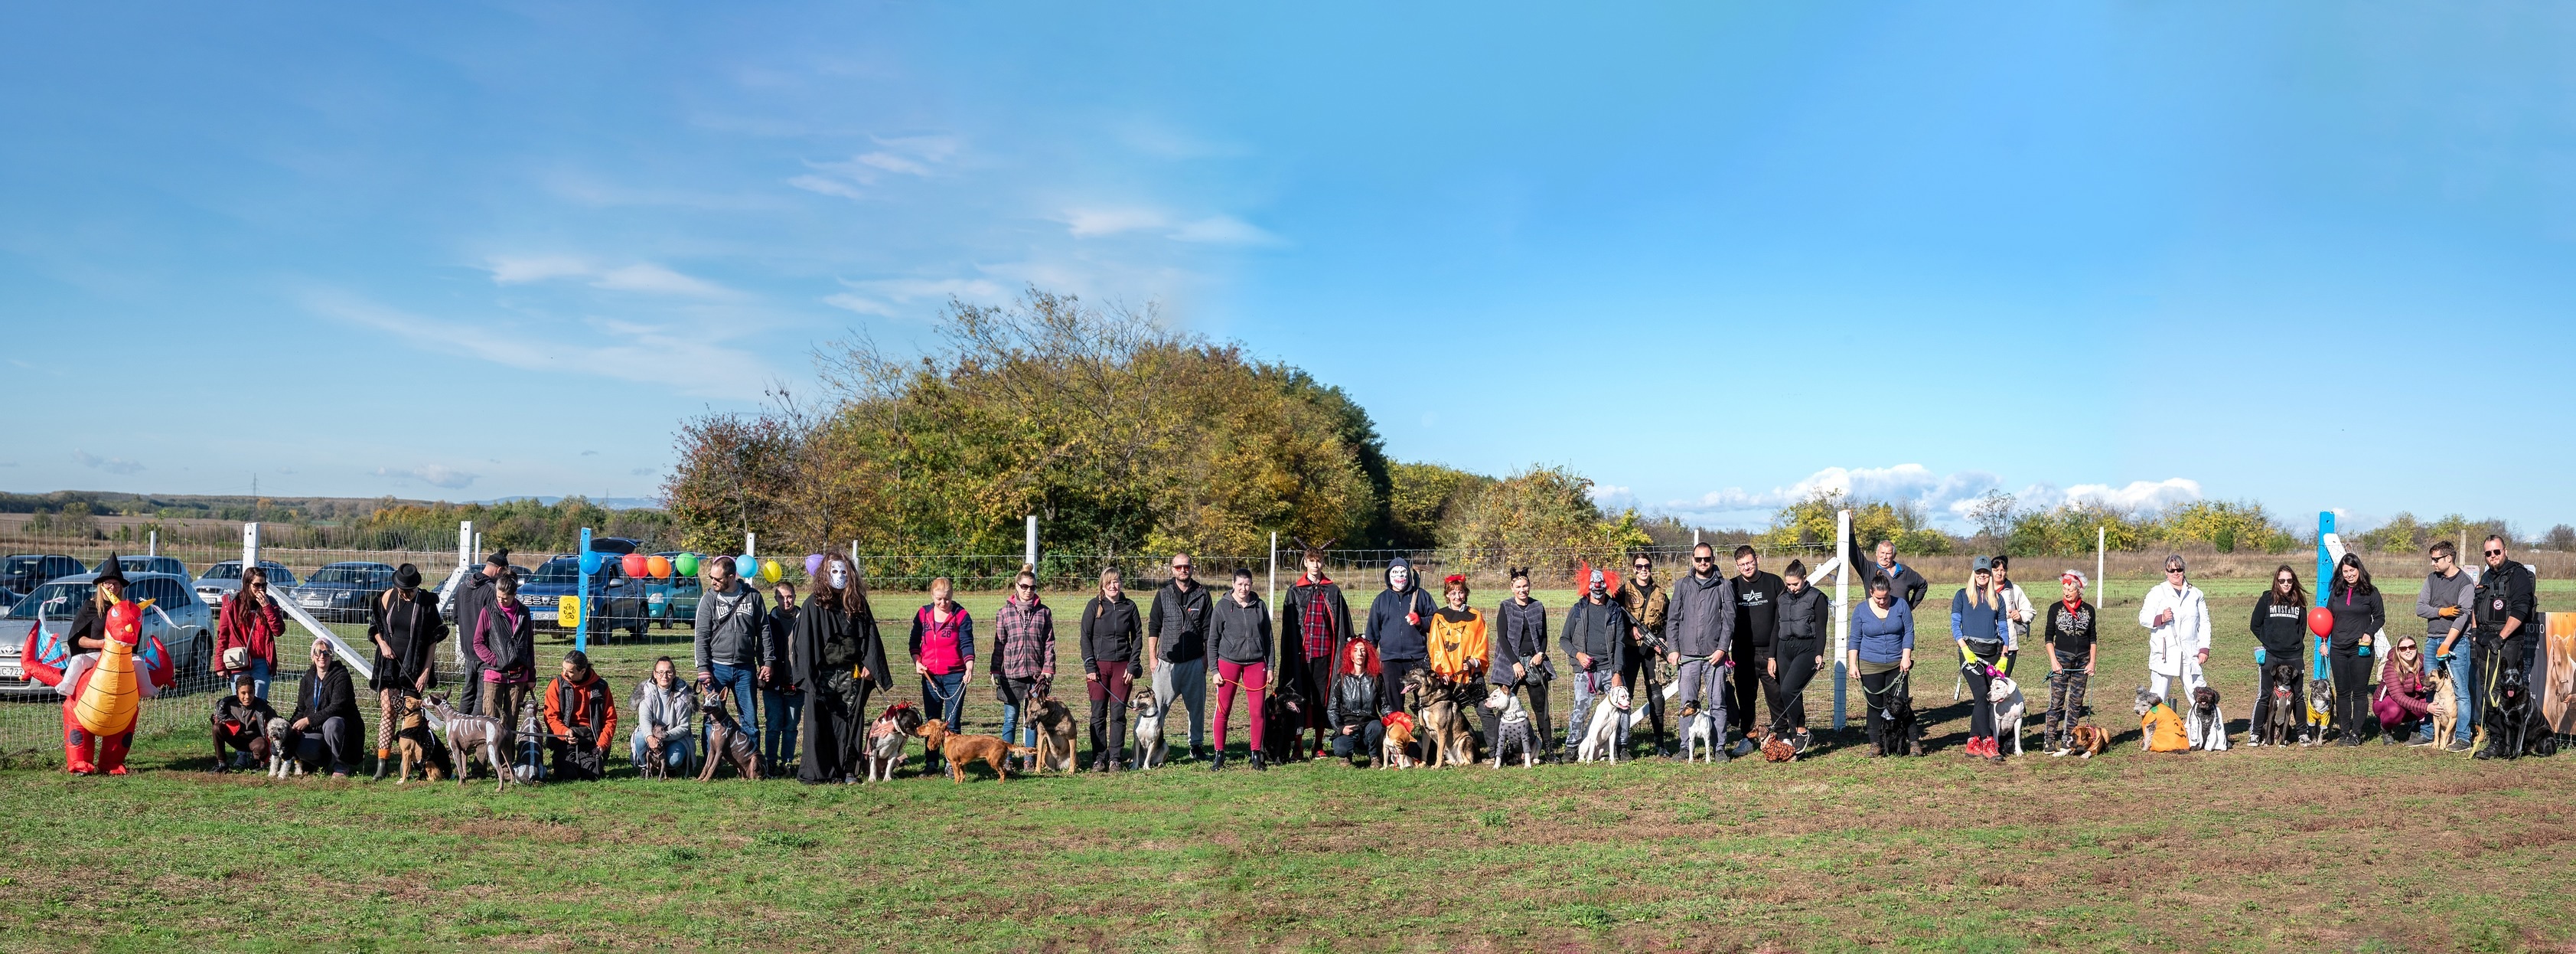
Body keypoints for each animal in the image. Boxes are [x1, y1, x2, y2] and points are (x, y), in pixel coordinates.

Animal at [690, 681, 757, 779]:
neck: (718, 722)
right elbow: (706, 766)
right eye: (705, 701)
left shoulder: (719, 751)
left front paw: (705, 780)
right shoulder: (711, 751)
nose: (703, 708)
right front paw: (700, 779)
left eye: (713, 701)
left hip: (754, 758)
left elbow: (712, 767)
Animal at [906, 721, 1025, 783]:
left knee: (1003, 772)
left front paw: (956, 784)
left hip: (994, 761)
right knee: (1004, 770)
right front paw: (962, 783)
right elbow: (962, 774)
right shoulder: (961, 763)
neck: (947, 738)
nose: (917, 728)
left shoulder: (954, 763)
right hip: (997, 761)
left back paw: (1000, 782)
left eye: (927, 725)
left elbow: (957, 775)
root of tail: (1004, 742)